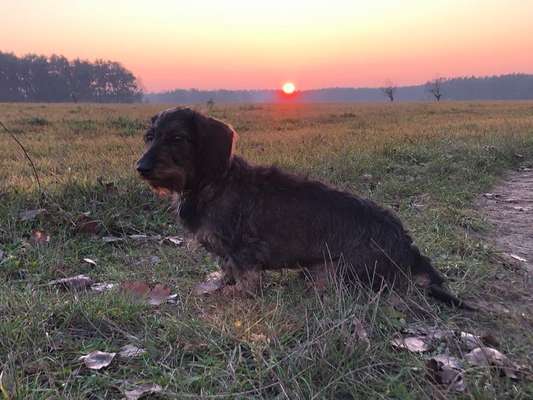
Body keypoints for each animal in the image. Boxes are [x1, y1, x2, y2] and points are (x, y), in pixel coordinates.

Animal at [136, 107, 470, 310]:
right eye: (150, 137)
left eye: (177, 138)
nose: (141, 167)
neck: (212, 183)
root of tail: (408, 250)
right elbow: (226, 270)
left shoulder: (245, 251)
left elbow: (246, 280)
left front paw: (234, 293)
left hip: (331, 273)